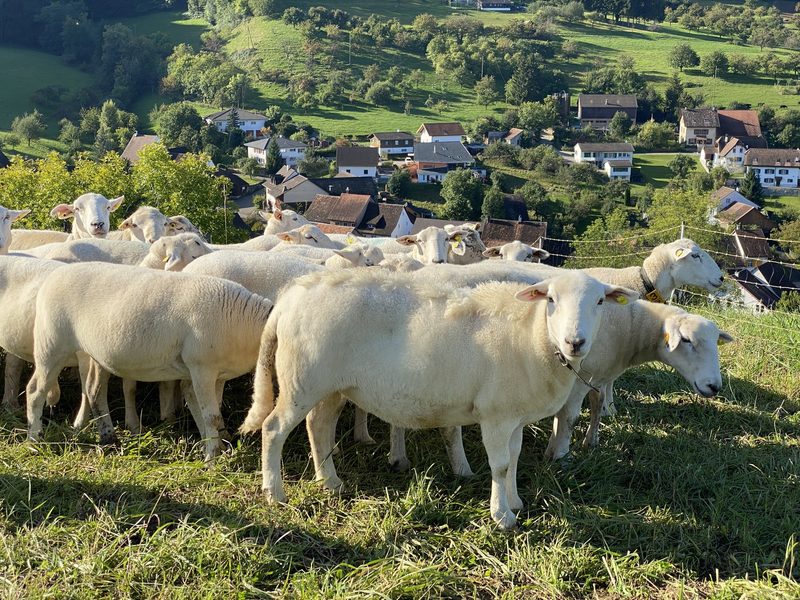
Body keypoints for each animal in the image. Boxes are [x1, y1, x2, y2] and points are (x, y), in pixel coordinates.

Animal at [26, 263, 274, 460]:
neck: (243, 322)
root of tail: (54, 276)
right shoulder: (201, 367)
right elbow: (211, 416)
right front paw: (212, 459)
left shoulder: (214, 373)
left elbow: (207, 411)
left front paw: (216, 446)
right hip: (51, 344)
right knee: (35, 390)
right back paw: (34, 439)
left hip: (93, 352)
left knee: (94, 390)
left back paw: (109, 438)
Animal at [240, 269, 638, 529]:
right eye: (551, 300)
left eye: (600, 301)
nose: (575, 342)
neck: (532, 336)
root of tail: (289, 298)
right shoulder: (496, 415)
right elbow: (500, 465)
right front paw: (502, 516)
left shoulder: (514, 414)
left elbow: (514, 458)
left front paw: (515, 502)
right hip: (301, 379)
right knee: (274, 429)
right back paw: (274, 492)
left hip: (331, 385)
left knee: (318, 426)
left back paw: (330, 482)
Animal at [544, 301, 733, 460]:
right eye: (686, 340)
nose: (714, 386)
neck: (630, 328)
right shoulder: (576, 381)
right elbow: (568, 418)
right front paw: (559, 457)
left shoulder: (597, 377)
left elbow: (598, 405)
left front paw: (591, 442)